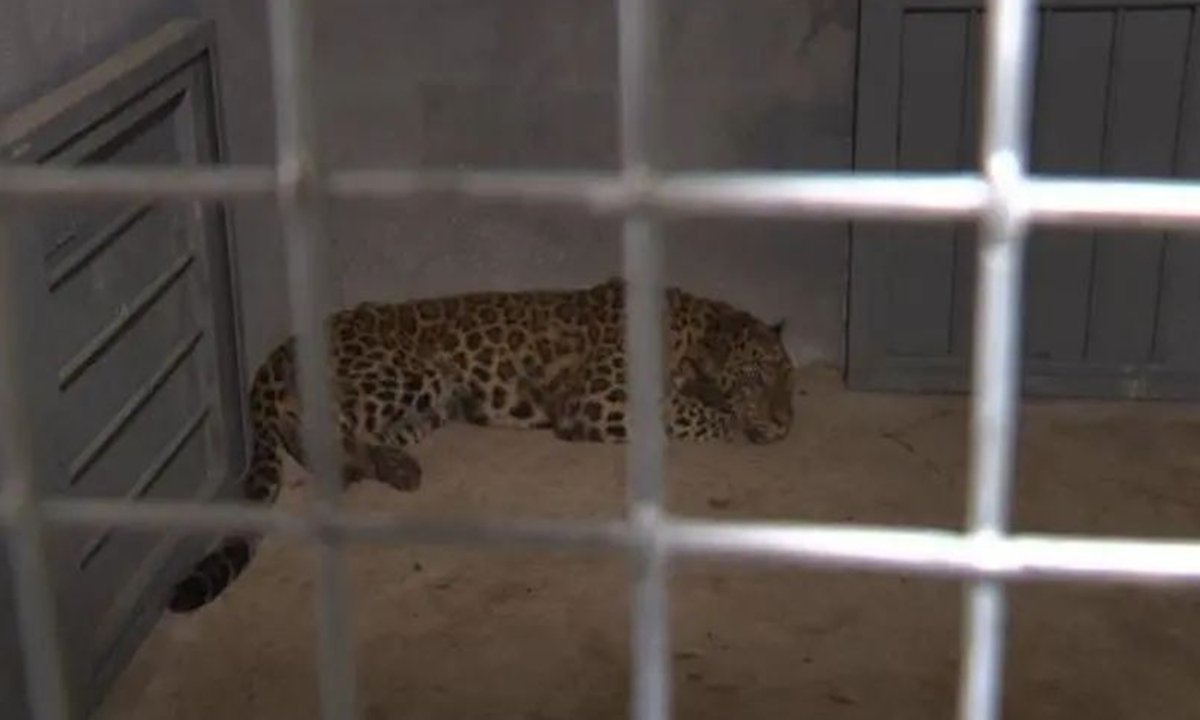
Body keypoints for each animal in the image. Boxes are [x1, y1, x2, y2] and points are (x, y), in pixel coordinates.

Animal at [166, 276, 795, 612]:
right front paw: (735, 419)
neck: (691, 332)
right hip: (403, 371)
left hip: (430, 402)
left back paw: (395, 466)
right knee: (315, 431)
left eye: (790, 377)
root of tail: (279, 351)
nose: (788, 422)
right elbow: (704, 416)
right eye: (760, 376)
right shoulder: (598, 399)